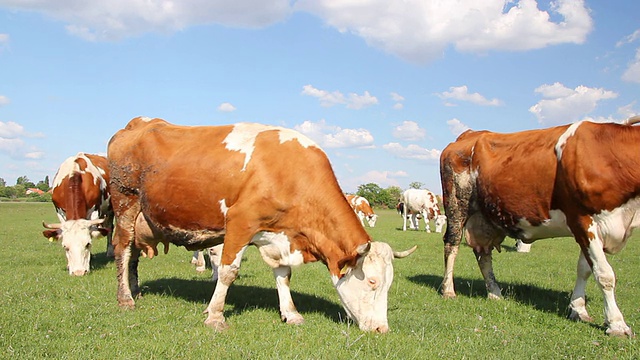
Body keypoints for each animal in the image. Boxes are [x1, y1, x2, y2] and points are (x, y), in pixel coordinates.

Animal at [106, 116, 416, 334]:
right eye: (373, 281)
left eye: (389, 283)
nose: (382, 329)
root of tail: (138, 123)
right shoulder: (240, 222)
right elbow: (228, 272)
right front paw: (215, 316)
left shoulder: (277, 234)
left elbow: (284, 275)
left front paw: (291, 313)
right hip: (124, 204)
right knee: (123, 251)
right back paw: (125, 299)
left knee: (133, 255)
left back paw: (135, 290)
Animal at [440, 117, 640, 338]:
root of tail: (469, 134)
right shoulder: (581, 219)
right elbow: (604, 274)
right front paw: (617, 324)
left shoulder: (597, 228)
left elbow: (584, 269)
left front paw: (578, 310)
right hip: (456, 203)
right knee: (452, 244)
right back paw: (448, 290)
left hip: (485, 218)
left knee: (483, 254)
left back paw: (494, 292)